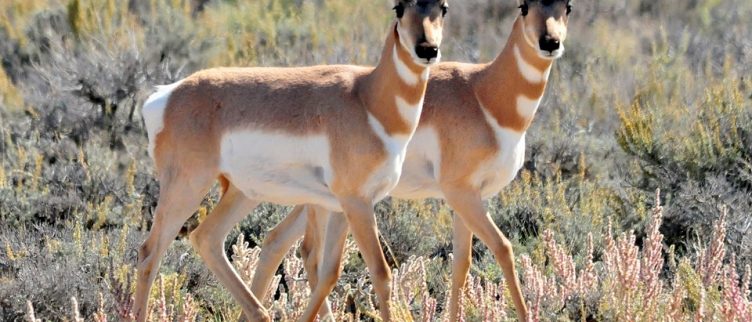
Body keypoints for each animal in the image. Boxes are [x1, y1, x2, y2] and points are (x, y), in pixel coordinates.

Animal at [135, 1, 446, 320]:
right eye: (398, 7)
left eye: (443, 7)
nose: (427, 49)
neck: (367, 99)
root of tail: (166, 95)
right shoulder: (357, 204)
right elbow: (380, 273)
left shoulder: (340, 206)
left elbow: (330, 273)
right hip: (187, 188)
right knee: (149, 253)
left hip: (242, 194)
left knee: (206, 238)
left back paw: (261, 313)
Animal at [250, 0, 572, 320]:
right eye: (524, 6)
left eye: (567, 6)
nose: (550, 42)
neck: (483, 94)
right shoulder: (461, 194)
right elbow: (504, 248)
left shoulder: (468, 198)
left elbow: (461, 263)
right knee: (304, 249)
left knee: (279, 240)